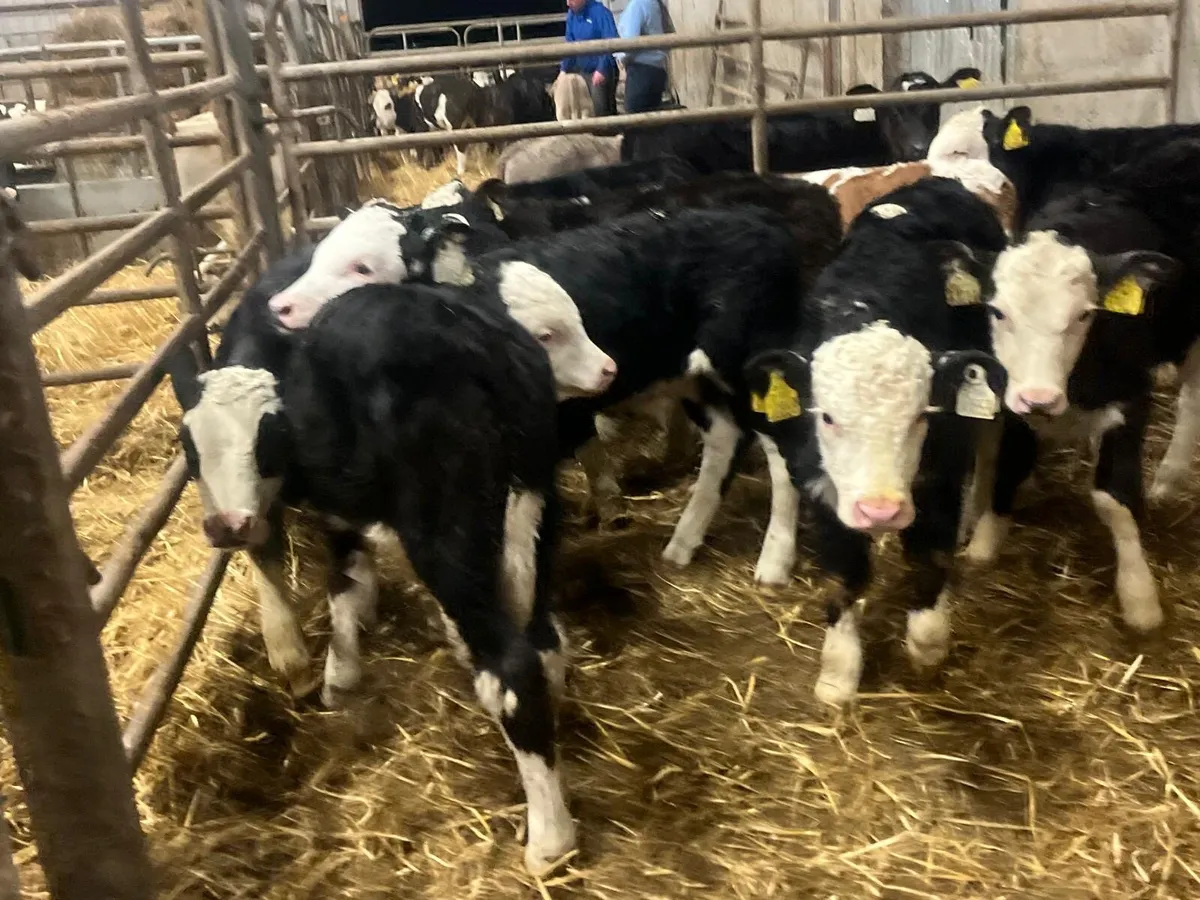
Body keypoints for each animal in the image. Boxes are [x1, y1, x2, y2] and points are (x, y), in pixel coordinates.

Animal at [744, 177, 1009, 704]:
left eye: (921, 415)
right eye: (826, 416)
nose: (880, 511)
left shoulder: (939, 478)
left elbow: (930, 561)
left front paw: (928, 644)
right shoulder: (823, 491)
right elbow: (843, 574)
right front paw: (838, 675)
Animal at [964, 139, 1200, 632]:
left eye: (1086, 315)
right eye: (996, 311)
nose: (1040, 397)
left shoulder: (1132, 397)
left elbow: (1114, 497)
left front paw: (1139, 596)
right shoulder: (1011, 401)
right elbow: (1008, 465)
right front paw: (984, 545)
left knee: (1193, 398)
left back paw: (1168, 478)